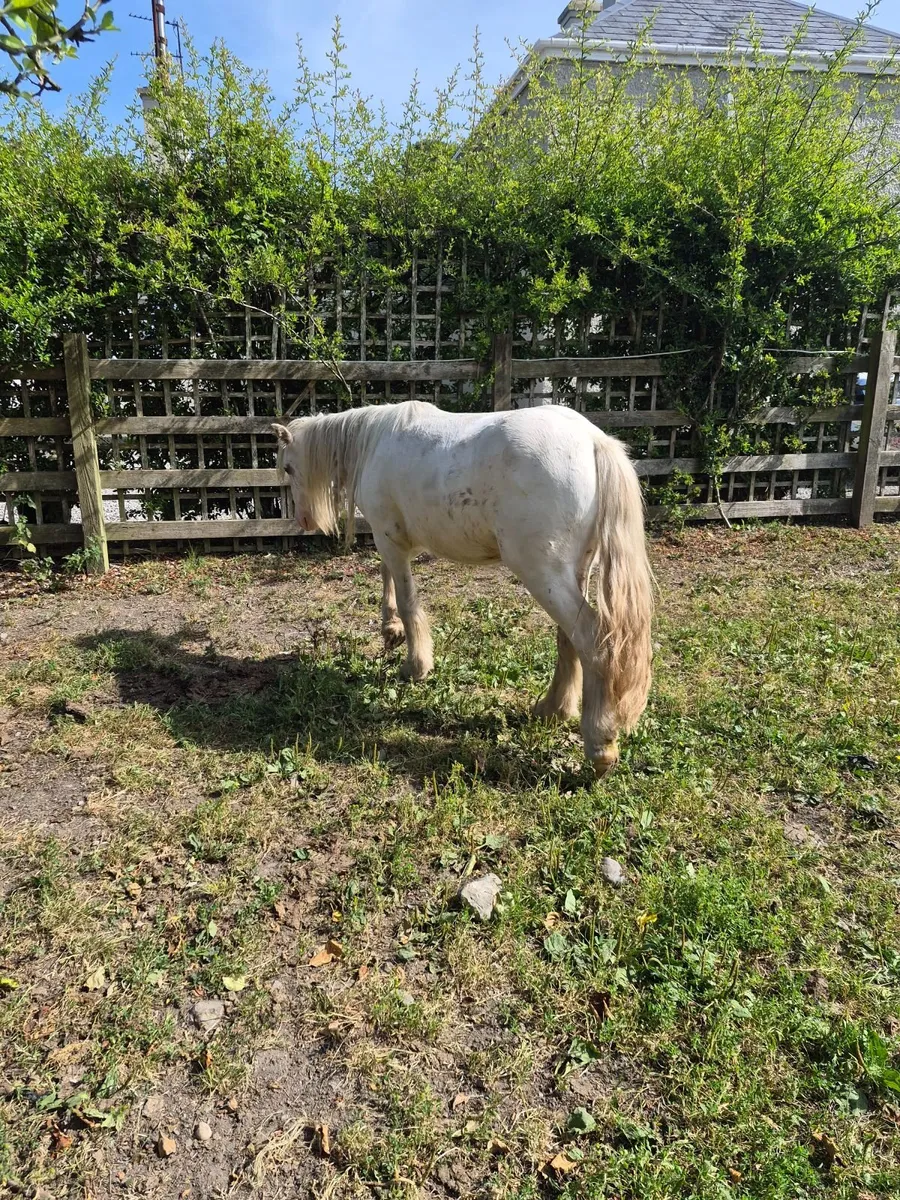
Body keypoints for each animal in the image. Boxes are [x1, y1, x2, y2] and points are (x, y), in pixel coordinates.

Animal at [272, 401, 653, 776]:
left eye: (288, 467)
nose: (303, 520)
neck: (373, 440)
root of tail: (593, 441)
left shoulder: (390, 538)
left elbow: (407, 600)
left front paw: (415, 665)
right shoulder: (392, 540)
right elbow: (386, 577)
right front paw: (391, 630)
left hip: (543, 574)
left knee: (594, 643)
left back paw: (599, 747)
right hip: (575, 572)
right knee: (569, 638)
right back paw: (552, 709)